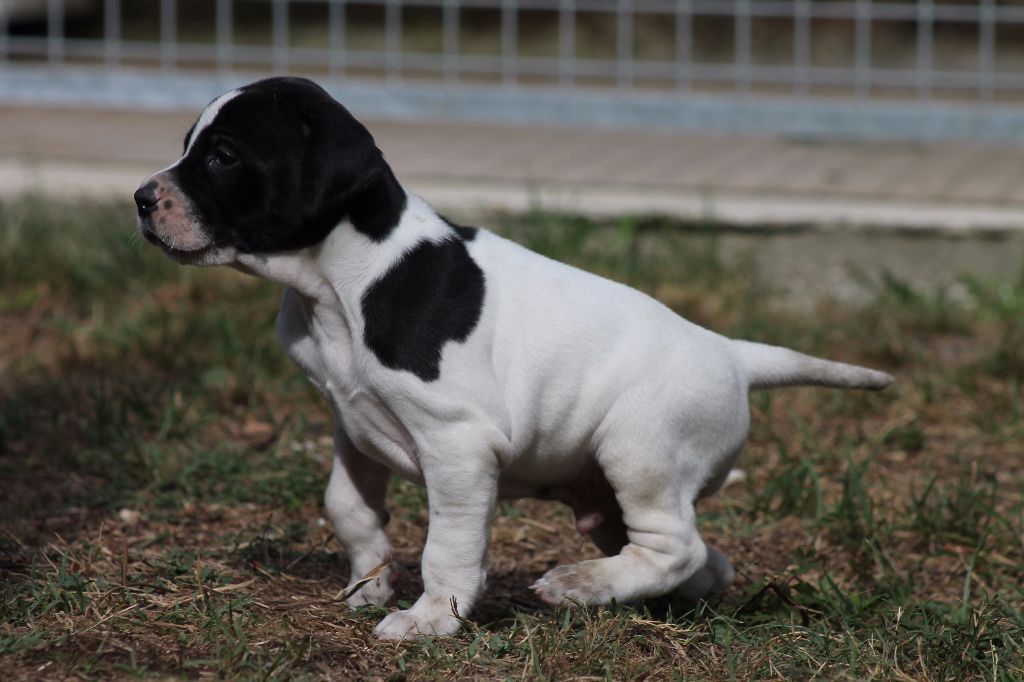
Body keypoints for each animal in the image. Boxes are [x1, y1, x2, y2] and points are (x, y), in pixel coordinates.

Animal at [134, 76, 888, 638]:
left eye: (223, 157)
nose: (141, 198)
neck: (342, 285)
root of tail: (733, 353)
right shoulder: (351, 421)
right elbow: (345, 506)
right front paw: (370, 581)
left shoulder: (458, 447)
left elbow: (449, 549)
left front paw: (430, 620)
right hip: (612, 494)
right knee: (704, 562)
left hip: (639, 450)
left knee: (677, 545)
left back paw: (578, 585)